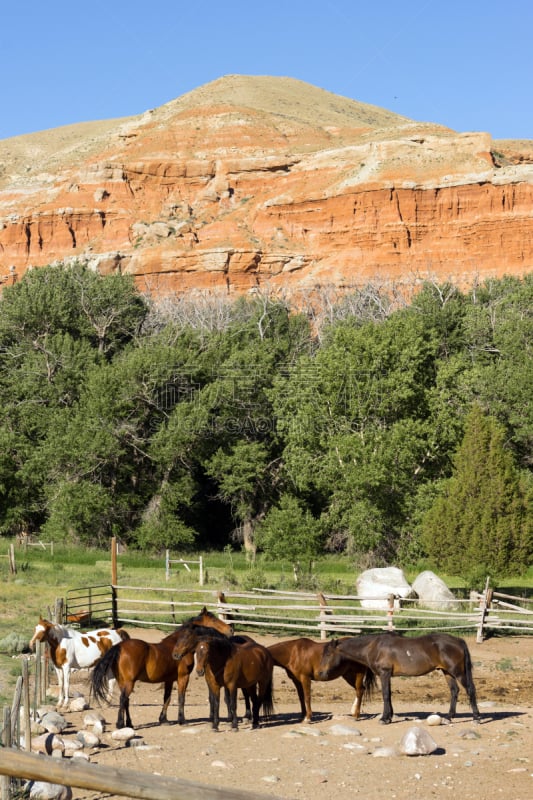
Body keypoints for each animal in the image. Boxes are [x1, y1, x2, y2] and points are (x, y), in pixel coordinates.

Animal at [90, 608, 232, 732]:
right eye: (213, 619)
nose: (230, 629)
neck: (179, 645)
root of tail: (119, 647)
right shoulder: (183, 677)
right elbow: (181, 698)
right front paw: (182, 720)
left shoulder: (169, 680)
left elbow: (167, 699)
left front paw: (163, 719)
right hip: (129, 682)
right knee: (123, 699)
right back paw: (120, 724)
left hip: (122, 682)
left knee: (126, 701)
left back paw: (129, 724)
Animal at [318, 632, 480, 724]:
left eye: (328, 654)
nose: (321, 673)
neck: (373, 647)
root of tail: (458, 641)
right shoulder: (387, 675)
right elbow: (389, 695)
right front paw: (389, 716)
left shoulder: (384, 673)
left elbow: (385, 695)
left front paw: (384, 719)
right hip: (447, 673)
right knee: (454, 691)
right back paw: (449, 717)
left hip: (457, 672)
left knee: (470, 690)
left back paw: (476, 718)